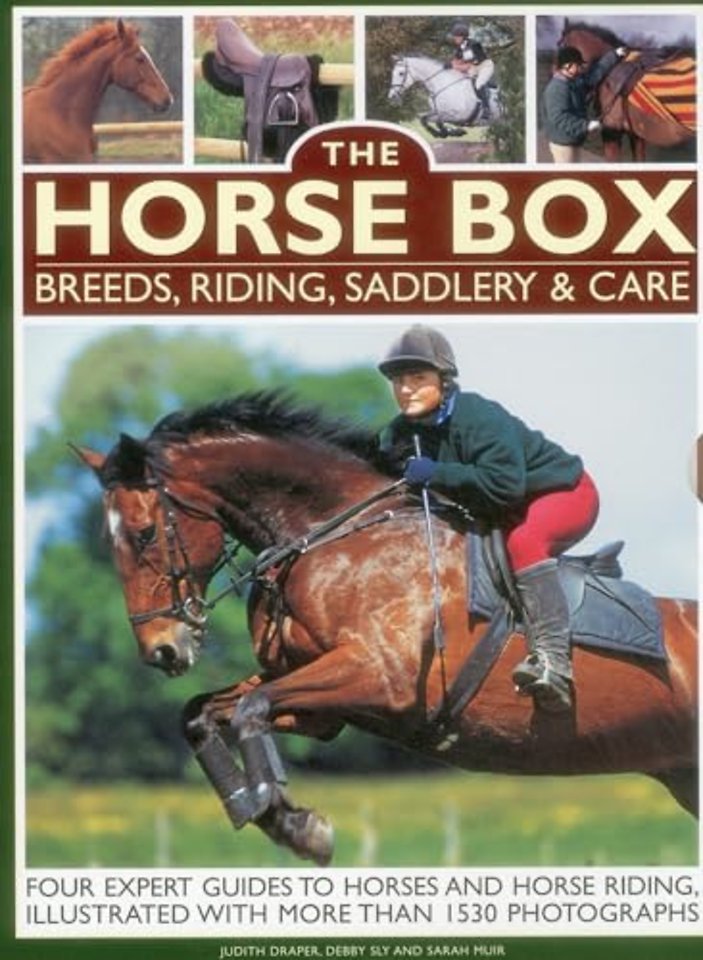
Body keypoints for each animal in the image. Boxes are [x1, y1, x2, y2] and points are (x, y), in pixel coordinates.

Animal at [76, 391, 698, 865]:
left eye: (144, 534)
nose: (162, 650)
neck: (330, 534)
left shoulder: (381, 678)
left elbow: (250, 711)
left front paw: (298, 827)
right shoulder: (323, 706)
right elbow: (202, 715)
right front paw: (272, 815)